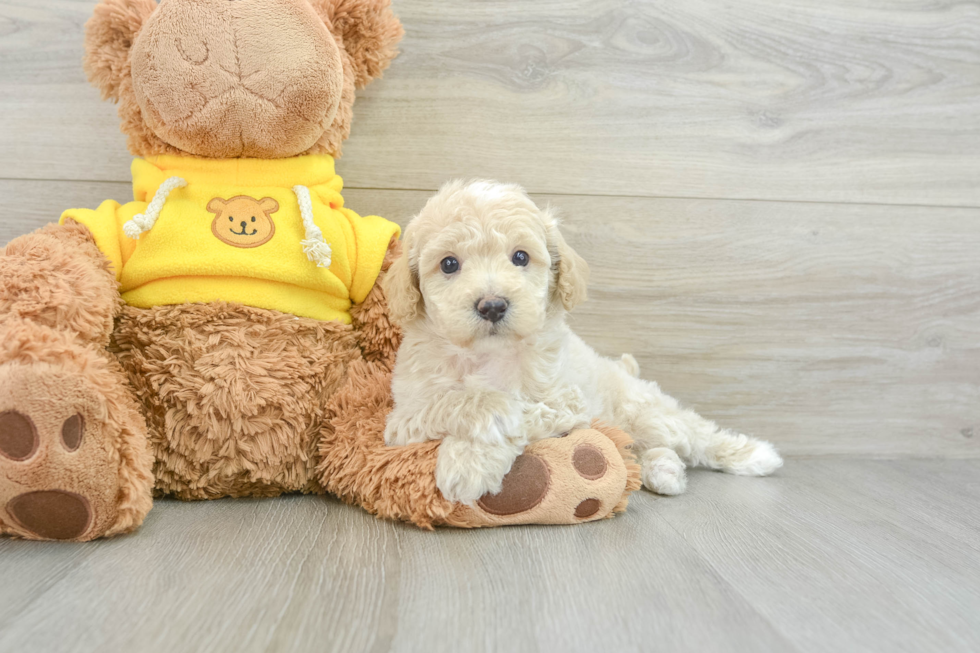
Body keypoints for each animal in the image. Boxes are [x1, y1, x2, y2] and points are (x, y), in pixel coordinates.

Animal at [382, 181, 780, 502]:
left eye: (521, 257)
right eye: (448, 264)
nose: (492, 305)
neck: (488, 355)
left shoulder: (565, 402)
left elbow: (527, 411)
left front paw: (467, 463)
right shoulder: (402, 418)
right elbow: (450, 401)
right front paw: (489, 417)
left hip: (647, 411)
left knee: (697, 435)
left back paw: (758, 456)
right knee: (652, 447)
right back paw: (664, 472)